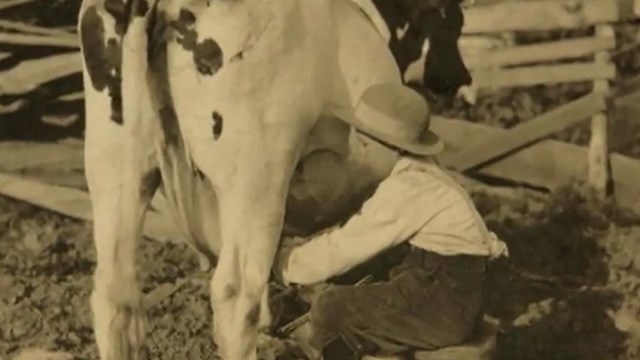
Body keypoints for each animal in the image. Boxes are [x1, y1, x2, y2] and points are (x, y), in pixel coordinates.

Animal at [79, 0, 470, 360]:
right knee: (236, 294)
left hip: (115, 164)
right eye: (450, 22)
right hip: (259, 170)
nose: (460, 80)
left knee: (114, 291)